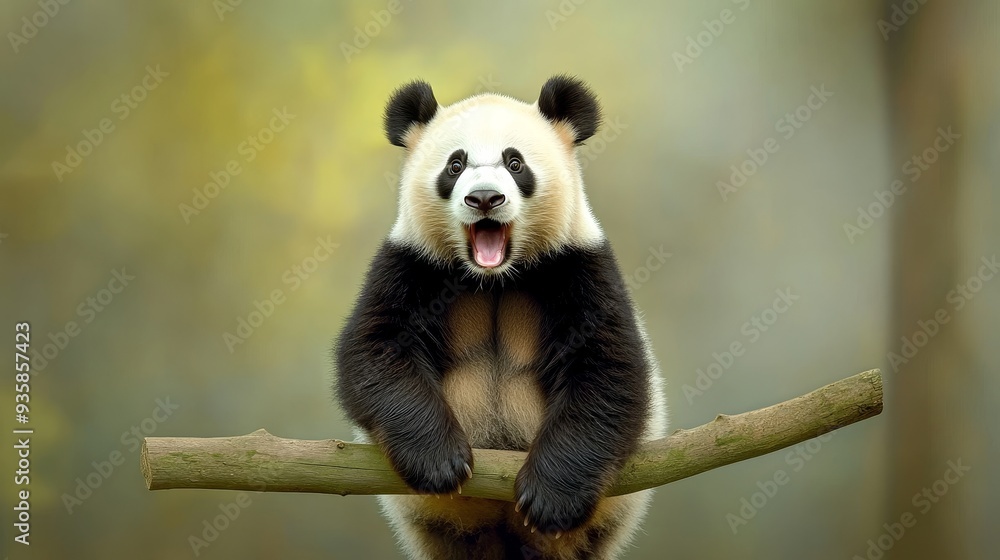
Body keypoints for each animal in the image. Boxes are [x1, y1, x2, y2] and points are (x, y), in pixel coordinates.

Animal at [335, 76, 668, 560]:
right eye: (455, 165)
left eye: (515, 163)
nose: (485, 198)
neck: (493, 278)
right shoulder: (411, 263)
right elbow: (375, 351)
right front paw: (440, 462)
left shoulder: (578, 264)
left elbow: (608, 369)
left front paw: (550, 499)